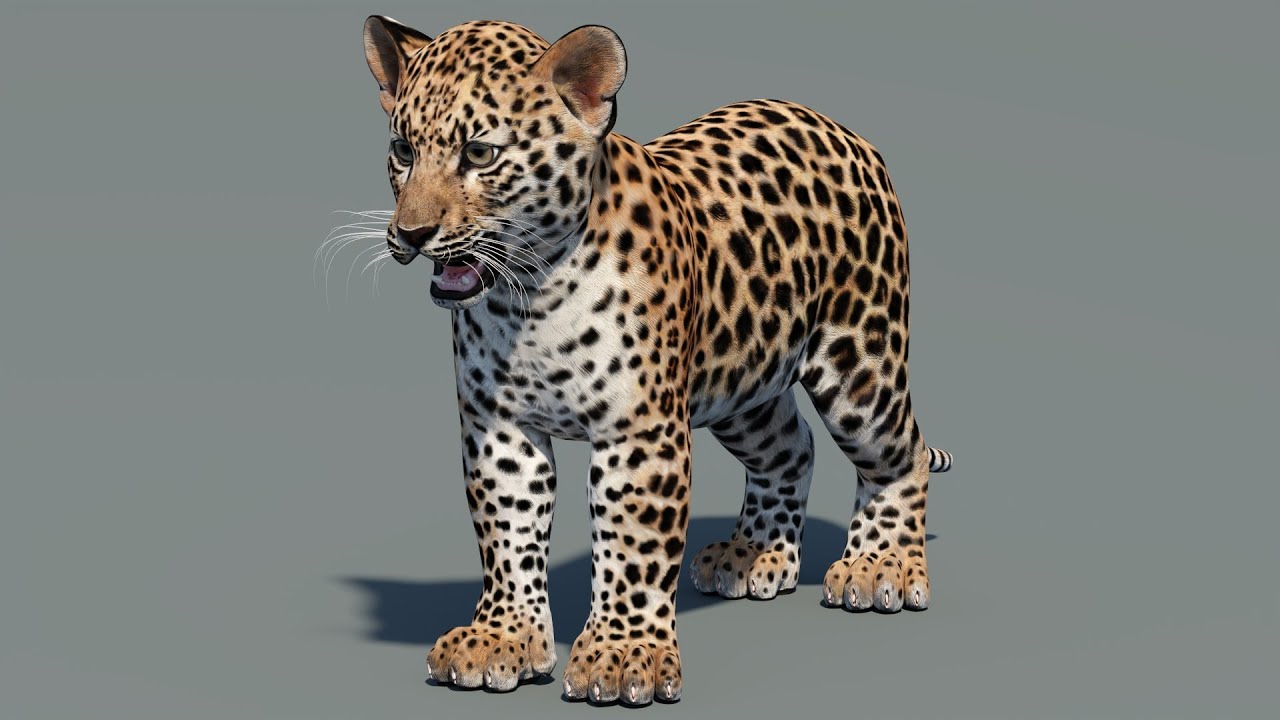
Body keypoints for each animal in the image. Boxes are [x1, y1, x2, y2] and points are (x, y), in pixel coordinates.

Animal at [357, 15, 954, 706]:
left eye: (480, 155)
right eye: (403, 151)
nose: (411, 234)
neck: (530, 298)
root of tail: (840, 127)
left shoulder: (638, 431)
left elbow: (632, 543)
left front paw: (621, 655)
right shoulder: (500, 427)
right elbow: (506, 532)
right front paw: (502, 637)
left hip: (859, 364)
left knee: (899, 453)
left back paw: (881, 566)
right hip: (742, 382)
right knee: (793, 448)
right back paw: (756, 555)